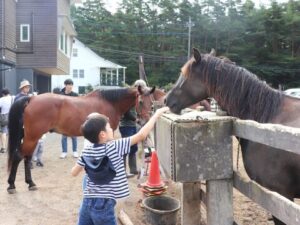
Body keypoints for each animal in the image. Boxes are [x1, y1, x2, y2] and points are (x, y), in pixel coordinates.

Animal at [7, 87, 150, 194]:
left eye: (151, 102)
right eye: (141, 101)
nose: (144, 121)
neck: (110, 103)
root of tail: (32, 98)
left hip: (32, 137)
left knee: (27, 157)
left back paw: (30, 183)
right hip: (32, 137)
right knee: (19, 156)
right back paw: (12, 185)